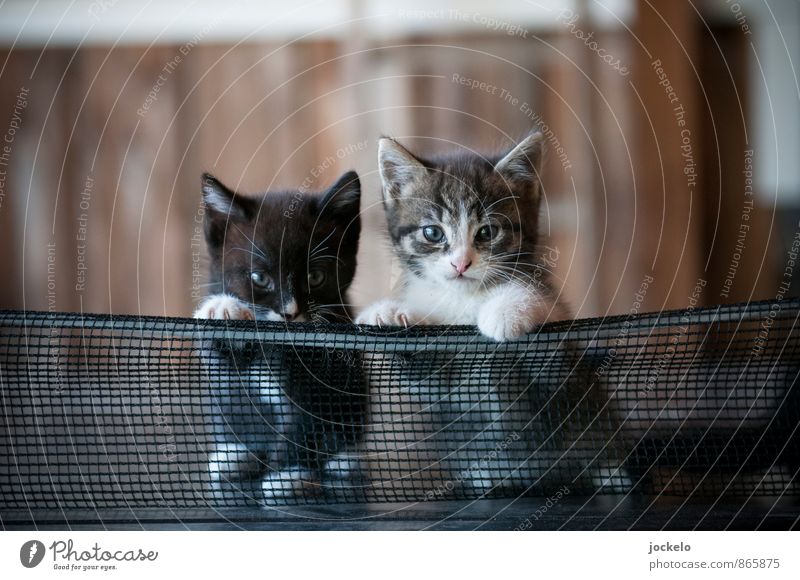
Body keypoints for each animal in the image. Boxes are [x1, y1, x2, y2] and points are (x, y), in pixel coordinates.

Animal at [197, 169, 366, 502]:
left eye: (316, 276)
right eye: (259, 278)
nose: (290, 313)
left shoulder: (324, 371)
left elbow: (303, 418)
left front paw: (290, 474)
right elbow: (226, 363)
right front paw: (223, 307)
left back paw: (343, 457)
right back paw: (235, 454)